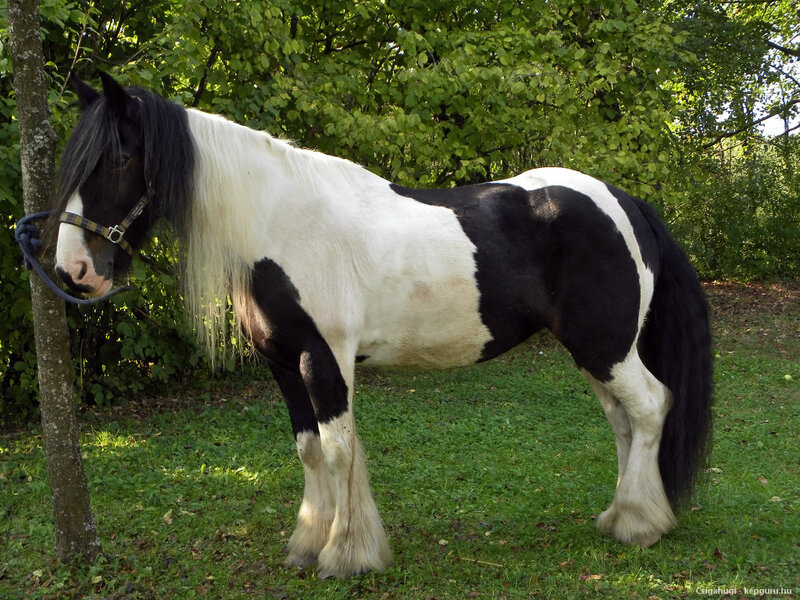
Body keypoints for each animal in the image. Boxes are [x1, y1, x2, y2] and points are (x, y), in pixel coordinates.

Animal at [52, 73, 713, 579]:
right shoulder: (283, 364)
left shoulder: (324, 358)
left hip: (607, 347)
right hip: (594, 351)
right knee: (624, 421)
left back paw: (640, 525)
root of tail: (627, 203)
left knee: (651, 407)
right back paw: (621, 515)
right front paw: (307, 544)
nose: (73, 271)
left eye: (117, 158)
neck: (282, 224)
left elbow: (339, 450)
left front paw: (346, 555)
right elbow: (308, 449)